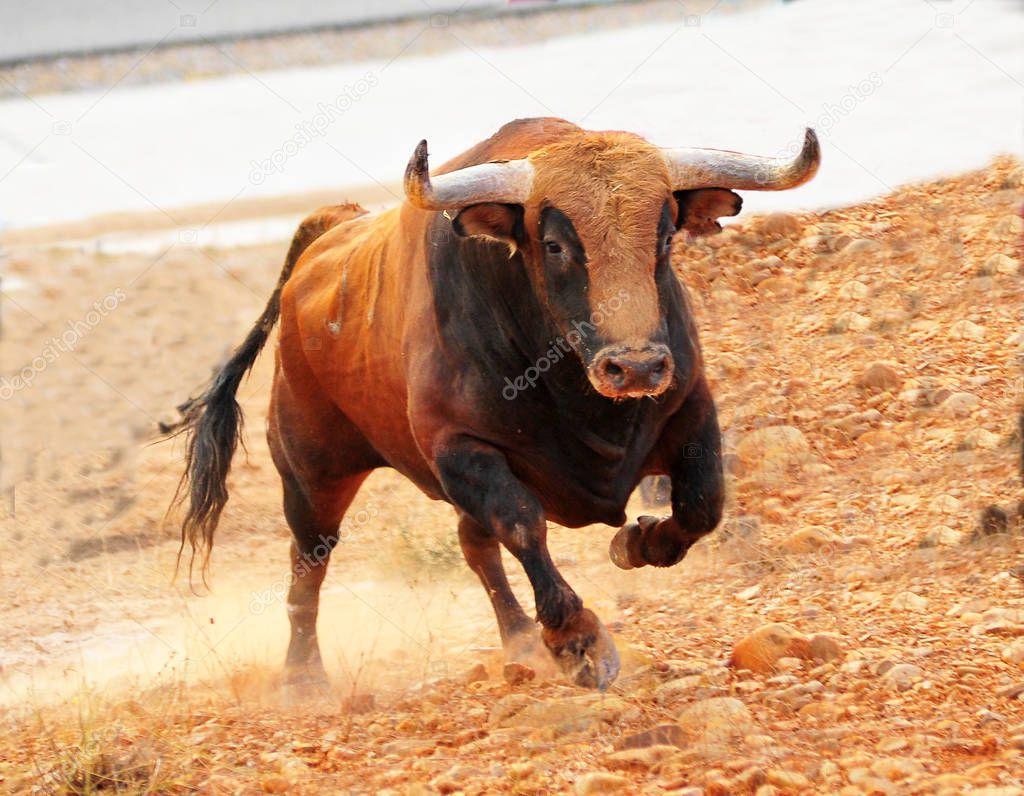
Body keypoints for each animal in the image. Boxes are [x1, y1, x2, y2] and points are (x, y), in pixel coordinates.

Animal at [172, 117, 819, 688]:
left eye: (663, 238)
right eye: (554, 244)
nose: (634, 366)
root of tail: (326, 239)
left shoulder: (689, 408)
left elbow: (701, 505)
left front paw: (636, 543)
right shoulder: (463, 450)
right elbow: (522, 522)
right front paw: (577, 640)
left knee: (473, 546)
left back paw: (519, 640)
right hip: (311, 476)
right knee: (308, 566)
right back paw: (304, 678)